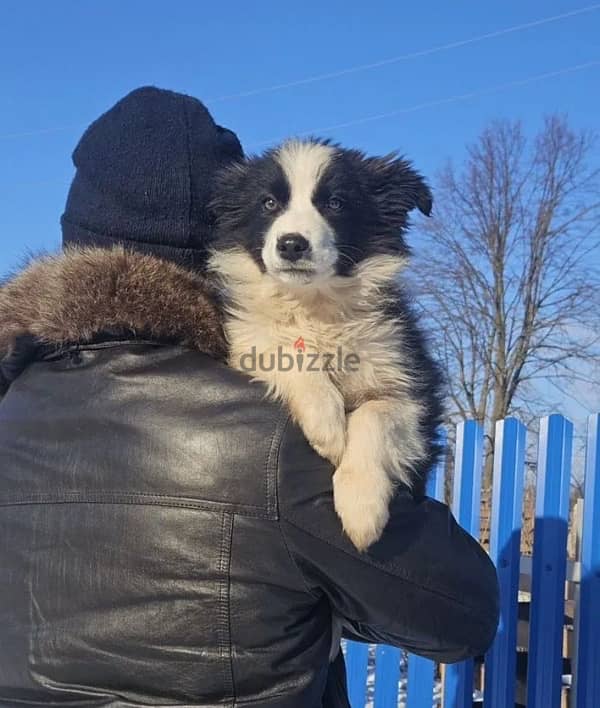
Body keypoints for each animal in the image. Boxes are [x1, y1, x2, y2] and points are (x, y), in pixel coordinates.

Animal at [209, 137, 442, 548]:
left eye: (335, 202)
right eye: (268, 203)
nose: (291, 245)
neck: (314, 304)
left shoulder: (412, 390)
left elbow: (375, 414)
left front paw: (362, 507)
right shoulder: (246, 341)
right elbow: (284, 351)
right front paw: (329, 429)